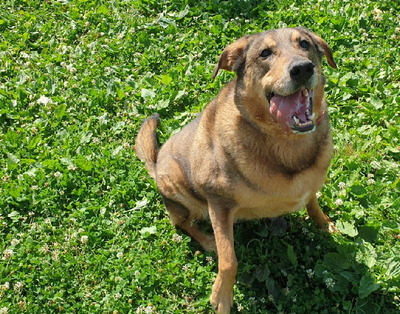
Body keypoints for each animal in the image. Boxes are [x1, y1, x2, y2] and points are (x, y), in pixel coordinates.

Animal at [137, 27, 338, 314]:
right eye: (264, 53)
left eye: (304, 44)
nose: (302, 69)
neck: (285, 143)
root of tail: (155, 163)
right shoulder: (219, 203)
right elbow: (229, 259)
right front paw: (222, 296)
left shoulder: (309, 187)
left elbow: (313, 204)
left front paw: (326, 225)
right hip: (177, 188)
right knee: (184, 223)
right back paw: (207, 240)